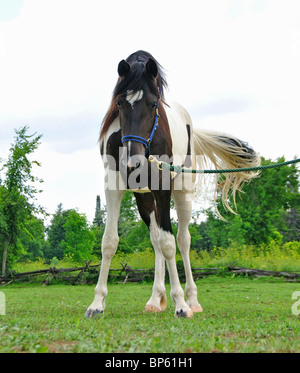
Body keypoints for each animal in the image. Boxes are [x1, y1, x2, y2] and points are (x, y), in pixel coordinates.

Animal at [85, 50, 260, 316]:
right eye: (120, 103)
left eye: (153, 104)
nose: (133, 162)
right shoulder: (113, 185)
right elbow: (110, 242)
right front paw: (96, 304)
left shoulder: (163, 186)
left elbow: (170, 244)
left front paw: (180, 305)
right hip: (144, 198)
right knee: (156, 240)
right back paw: (155, 299)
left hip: (182, 192)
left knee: (182, 240)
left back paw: (192, 299)